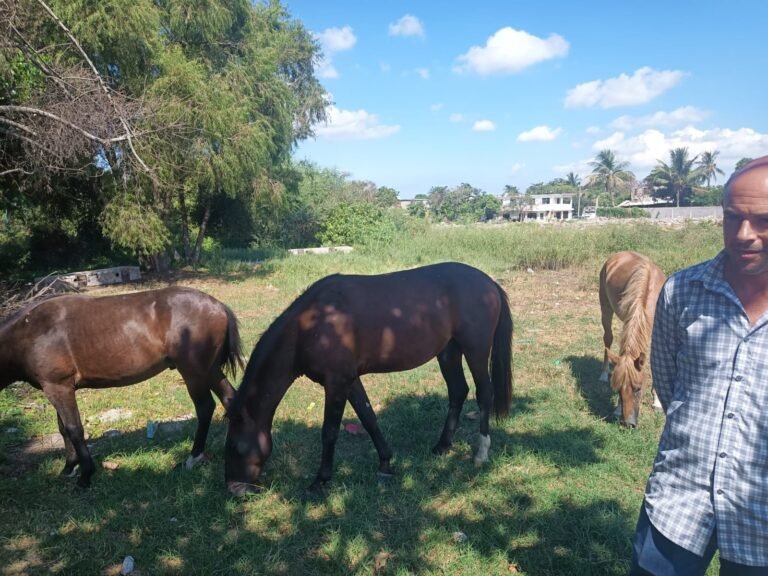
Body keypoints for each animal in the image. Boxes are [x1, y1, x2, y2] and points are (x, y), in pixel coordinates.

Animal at [0, 286, 244, 488]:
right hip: (209, 370)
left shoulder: (58, 388)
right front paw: (69, 468)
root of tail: (218, 306)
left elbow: (74, 429)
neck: (29, 331)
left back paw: (193, 457)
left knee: (205, 408)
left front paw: (85, 475)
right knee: (230, 399)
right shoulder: (58, 388)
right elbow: (63, 430)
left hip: (194, 372)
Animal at [224, 262, 513, 495]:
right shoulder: (350, 381)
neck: (313, 324)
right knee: (457, 391)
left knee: (484, 394)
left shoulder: (337, 383)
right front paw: (385, 463)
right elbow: (369, 418)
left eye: (235, 447)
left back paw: (481, 452)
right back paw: (442, 446)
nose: (234, 488)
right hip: (449, 352)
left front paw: (320, 480)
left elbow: (330, 432)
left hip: (475, 350)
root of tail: (489, 283)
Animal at [598, 251, 665, 427]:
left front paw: (657, 401)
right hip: (605, 308)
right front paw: (617, 409)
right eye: (618, 389)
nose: (628, 424)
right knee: (608, 339)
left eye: (638, 388)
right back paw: (604, 373)